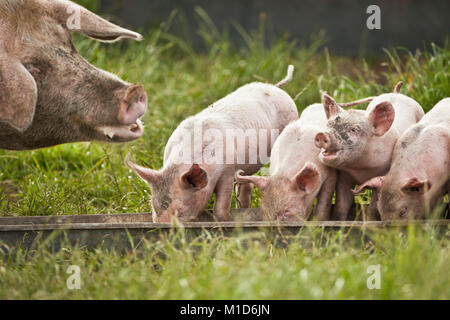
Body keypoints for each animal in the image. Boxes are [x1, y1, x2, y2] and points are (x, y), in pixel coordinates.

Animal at [126, 67, 298, 222]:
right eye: (153, 207)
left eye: (179, 209)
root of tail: (275, 87)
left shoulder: (228, 170)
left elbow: (221, 206)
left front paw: (223, 220)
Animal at [312, 83, 426, 220]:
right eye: (329, 124)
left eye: (354, 130)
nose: (322, 135)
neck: (361, 169)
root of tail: (396, 93)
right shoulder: (345, 177)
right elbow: (341, 204)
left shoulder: (381, 176)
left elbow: (373, 206)